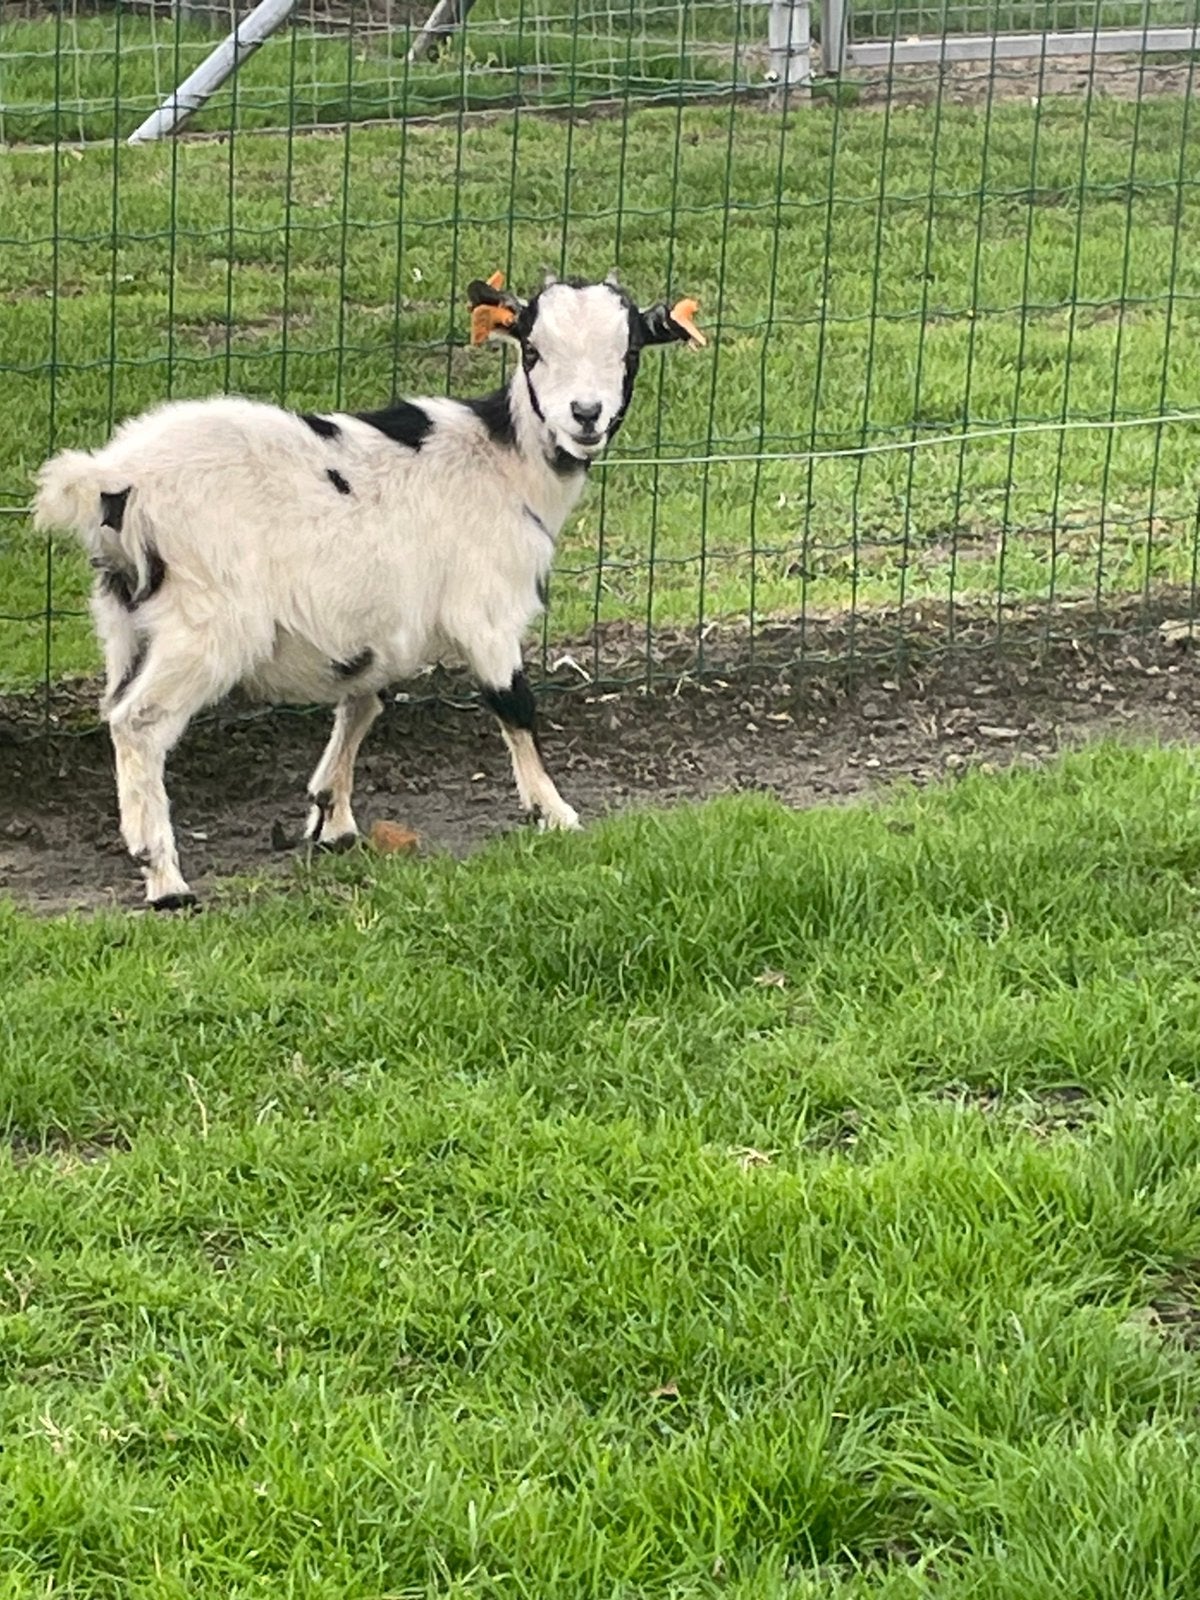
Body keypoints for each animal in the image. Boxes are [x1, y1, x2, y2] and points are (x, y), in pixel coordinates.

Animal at [32, 272, 705, 908]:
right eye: (533, 350)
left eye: (630, 351)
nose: (585, 414)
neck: (505, 461)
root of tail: (112, 481)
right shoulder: (485, 608)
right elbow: (514, 703)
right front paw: (555, 812)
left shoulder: (379, 623)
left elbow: (362, 704)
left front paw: (333, 818)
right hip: (205, 623)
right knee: (139, 722)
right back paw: (165, 877)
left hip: (121, 617)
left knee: (117, 705)